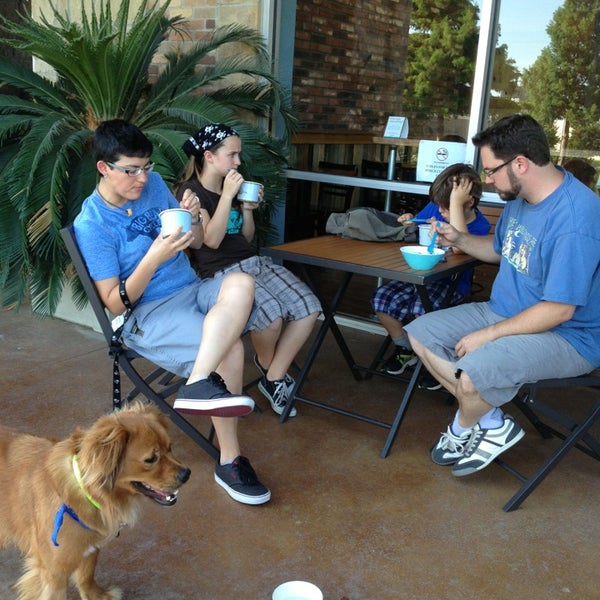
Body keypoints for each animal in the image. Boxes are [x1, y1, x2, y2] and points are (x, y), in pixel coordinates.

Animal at [0, 398, 190, 600]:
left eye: (170, 448)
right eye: (151, 459)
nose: (187, 474)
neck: (86, 490)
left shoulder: (90, 548)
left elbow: (86, 575)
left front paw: (96, 595)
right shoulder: (54, 574)